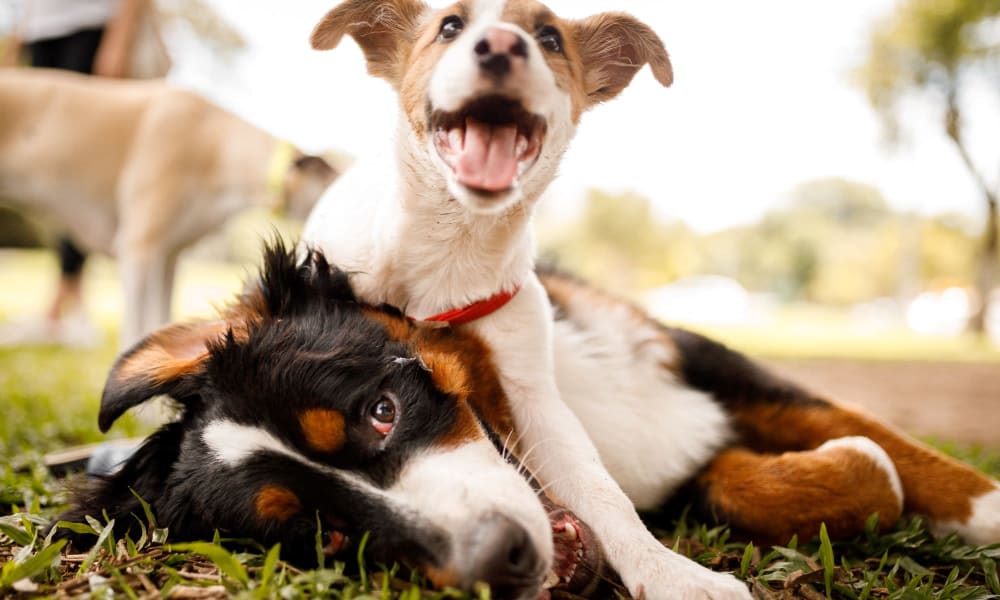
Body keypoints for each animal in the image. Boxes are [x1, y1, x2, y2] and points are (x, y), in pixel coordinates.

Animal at [302, 1, 1000, 600]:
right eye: (448, 25)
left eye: (549, 37)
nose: (500, 45)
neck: (450, 250)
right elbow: (856, 463)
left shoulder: (599, 378)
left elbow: (885, 441)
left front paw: (987, 505)